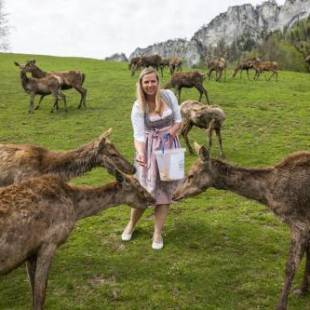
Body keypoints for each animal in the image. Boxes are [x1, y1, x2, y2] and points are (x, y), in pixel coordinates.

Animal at [0, 168, 155, 310]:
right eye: (139, 187)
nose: (152, 199)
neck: (75, 208)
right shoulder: (49, 243)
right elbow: (41, 294)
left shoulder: (30, 251)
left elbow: (34, 291)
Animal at [173, 146, 310, 310]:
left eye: (191, 175)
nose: (175, 194)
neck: (268, 194)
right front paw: (302, 291)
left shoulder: (299, 223)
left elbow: (290, 267)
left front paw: (282, 305)